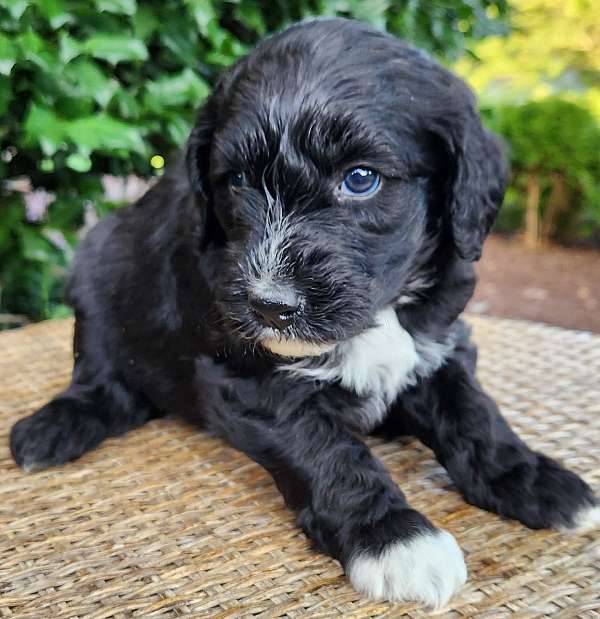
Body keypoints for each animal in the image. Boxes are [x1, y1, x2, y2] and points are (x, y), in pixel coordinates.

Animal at [11, 17, 596, 608]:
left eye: (360, 179)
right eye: (237, 181)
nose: (269, 305)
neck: (382, 312)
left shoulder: (440, 340)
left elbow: (474, 413)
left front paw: (530, 477)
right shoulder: (247, 377)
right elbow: (328, 452)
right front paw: (395, 539)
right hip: (95, 272)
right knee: (104, 377)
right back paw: (54, 428)